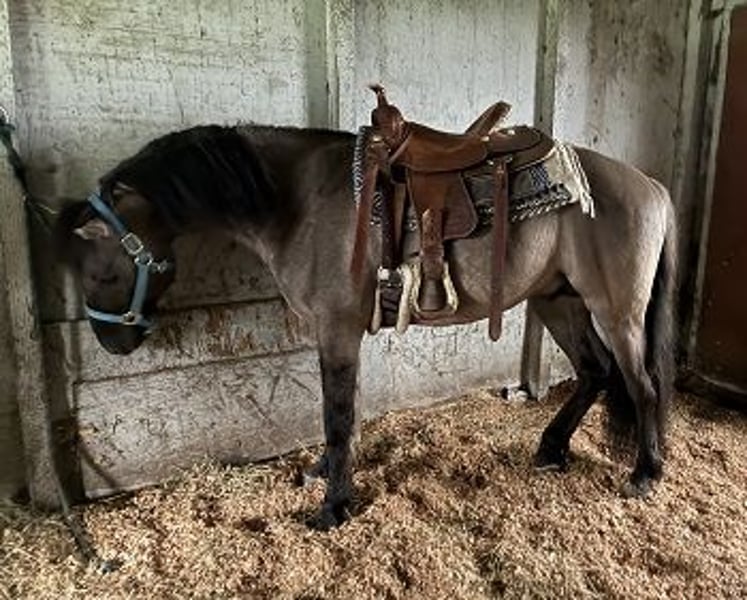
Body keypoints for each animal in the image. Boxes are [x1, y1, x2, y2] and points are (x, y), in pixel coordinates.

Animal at [54, 121, 677, 529]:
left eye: (101, 271)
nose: (113, 341)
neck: (297, 200)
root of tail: (653, 187)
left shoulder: (337, 329)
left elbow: (336, 415)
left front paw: (332, 508)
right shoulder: (338, 333)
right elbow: (343, 412)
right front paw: (325, 476)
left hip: (616, 310)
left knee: (642, 385)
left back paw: (646, 473)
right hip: (557, 300)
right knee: (595, 373)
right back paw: (551, 448)